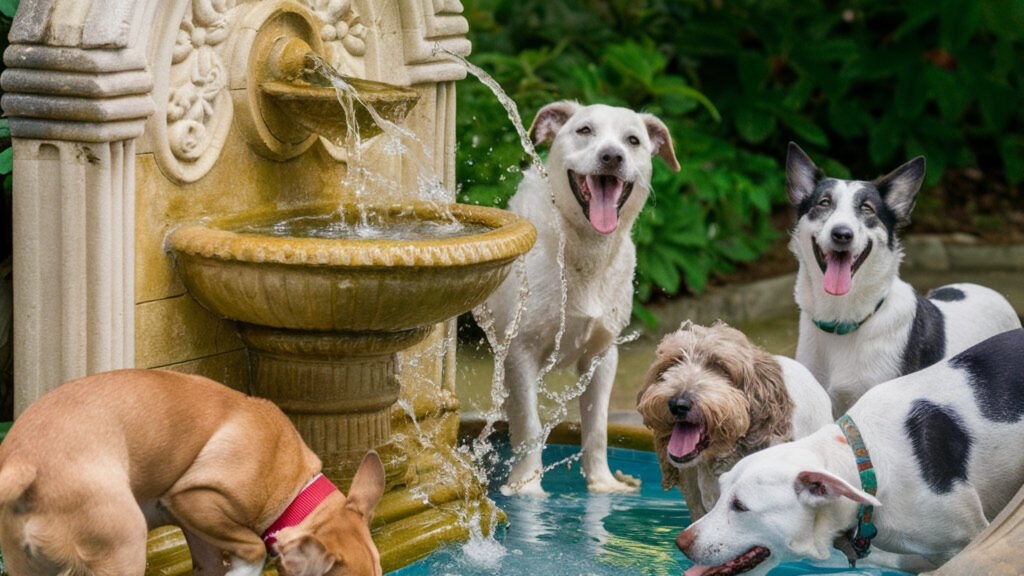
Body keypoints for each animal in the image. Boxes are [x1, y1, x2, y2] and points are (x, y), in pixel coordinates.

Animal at [477, 99, 679, 494]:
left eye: (633, 140)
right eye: (584, 130)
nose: (612, 156)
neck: (584, 249)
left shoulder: (602, 356)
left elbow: (597, 428)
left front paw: (602, 484)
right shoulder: (520, 351)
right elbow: (529, 425)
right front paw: (527, 488)